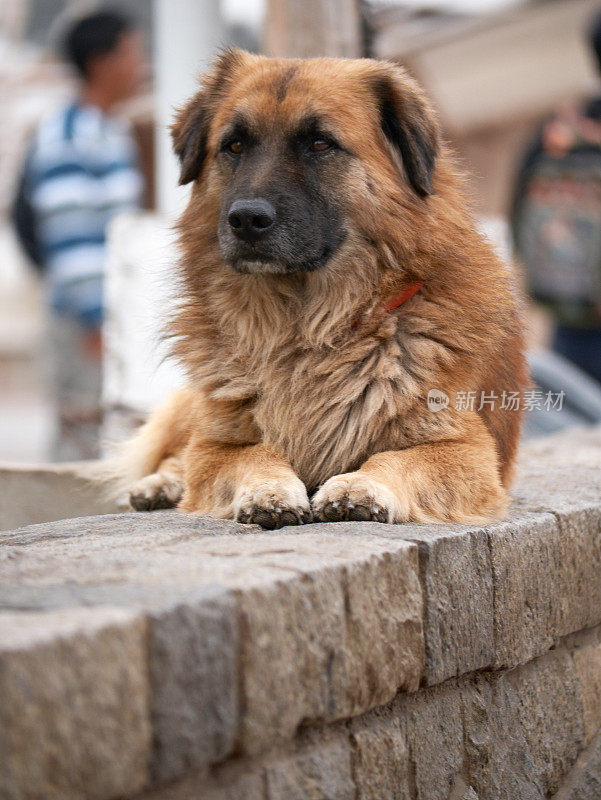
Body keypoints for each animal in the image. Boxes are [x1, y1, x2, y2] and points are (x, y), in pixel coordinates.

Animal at [118, 48, 528, 524]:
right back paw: (159, 486)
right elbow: (252, 453)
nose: (246, 219)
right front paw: (269, 490)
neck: (306, 328)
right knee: (173, 454)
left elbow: (395, 458)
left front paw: (360, 486)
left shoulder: (465, 449)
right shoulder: (218, 444)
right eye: (234, 145)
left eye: (320, 143)